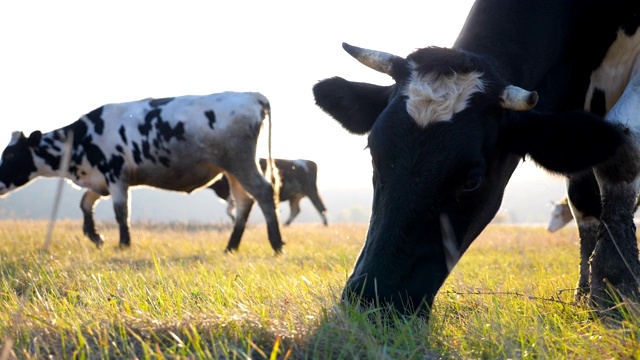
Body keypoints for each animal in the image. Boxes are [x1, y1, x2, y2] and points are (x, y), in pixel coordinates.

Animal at [0, 92, 284, 253]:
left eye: (11, 155)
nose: (0, 183)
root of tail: (251, 95)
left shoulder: (116, 175)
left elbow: (120, 212)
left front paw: (123, 244)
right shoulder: (99, 180)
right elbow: (85, 204)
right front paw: (95, 236)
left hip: (240, 162)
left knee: (263, 192)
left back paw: (276, 244)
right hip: (232, 169)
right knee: (245, 201)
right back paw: (231, 246)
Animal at [314, 0, 640, 318]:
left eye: (471, 181)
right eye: (374, 155)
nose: (372, 300)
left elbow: (624, 147)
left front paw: (616, 290)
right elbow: (582, 199)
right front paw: (585, 294)